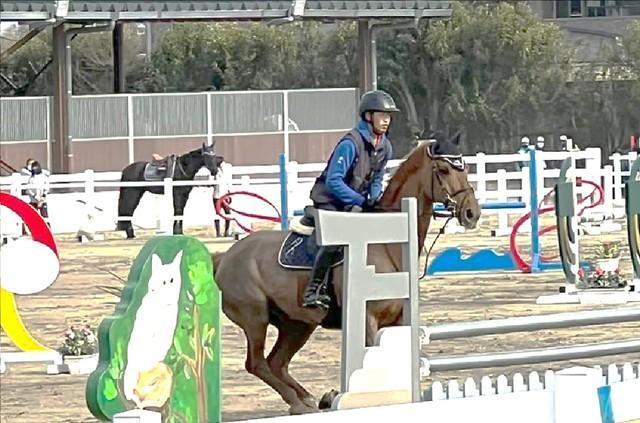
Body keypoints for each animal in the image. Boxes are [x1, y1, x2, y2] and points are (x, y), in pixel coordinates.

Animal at [212, 135, 478, 414]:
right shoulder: (369, 319)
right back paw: (301, 401)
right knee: (257, 363)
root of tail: (225, 256)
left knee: (277, 362)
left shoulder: (398, 321)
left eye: (466, 169)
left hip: (297, 324)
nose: (472, 213)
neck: (387, 242)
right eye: (444, 170)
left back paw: (311, 399)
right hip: (256, 318)